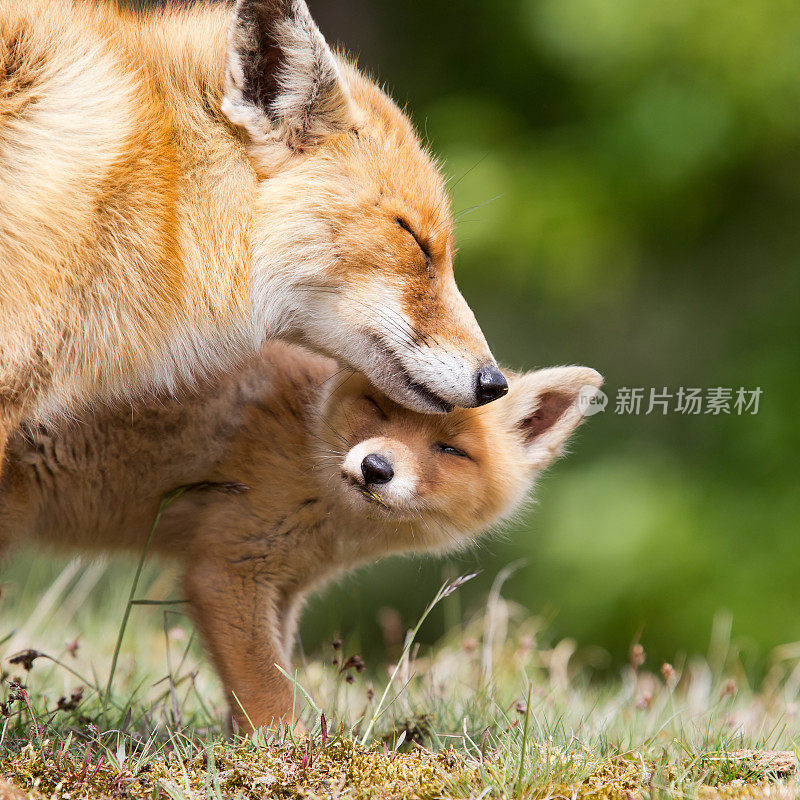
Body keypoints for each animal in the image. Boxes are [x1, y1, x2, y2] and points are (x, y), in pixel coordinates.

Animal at [0, 344, 600, 732]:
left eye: (451, 450)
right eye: (378, 408)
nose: (376, 468)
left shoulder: (284, 587)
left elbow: (272, 674)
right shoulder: (228, 571)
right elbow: (268, 690)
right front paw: (283, 757)